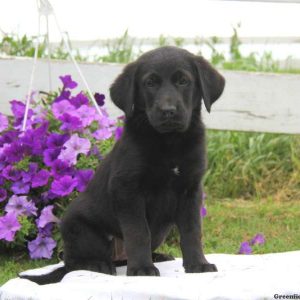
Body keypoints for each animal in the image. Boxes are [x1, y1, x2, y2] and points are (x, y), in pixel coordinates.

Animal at [19, 47, 225, 284]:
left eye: (184, 81)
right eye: (150, 83)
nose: (168, 110)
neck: (169, 141)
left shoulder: (190, 190)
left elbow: (192, 231)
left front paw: (198, 264)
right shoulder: (128, 189)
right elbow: (138, 232)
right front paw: (142, 269)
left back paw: (157, 256)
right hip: (77, 226)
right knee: (73, 264)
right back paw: (98, 265)